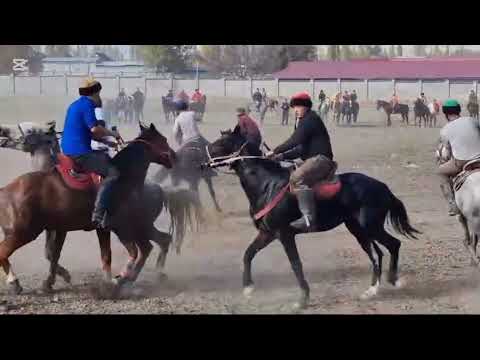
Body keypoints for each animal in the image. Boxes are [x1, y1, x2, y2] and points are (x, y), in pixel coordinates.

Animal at [204, 126, 422, 306]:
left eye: (221, 143)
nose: (204, 161)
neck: (267, 185)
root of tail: (383, 187)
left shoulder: (284, 234)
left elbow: (296, 264)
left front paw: (302, 299)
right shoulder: (267, 233)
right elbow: (248, 254)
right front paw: (248, 288)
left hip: (371, 227)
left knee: (393, 244)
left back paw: (393, 279)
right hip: (358, 230)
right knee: (376, 254)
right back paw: (371, 291)